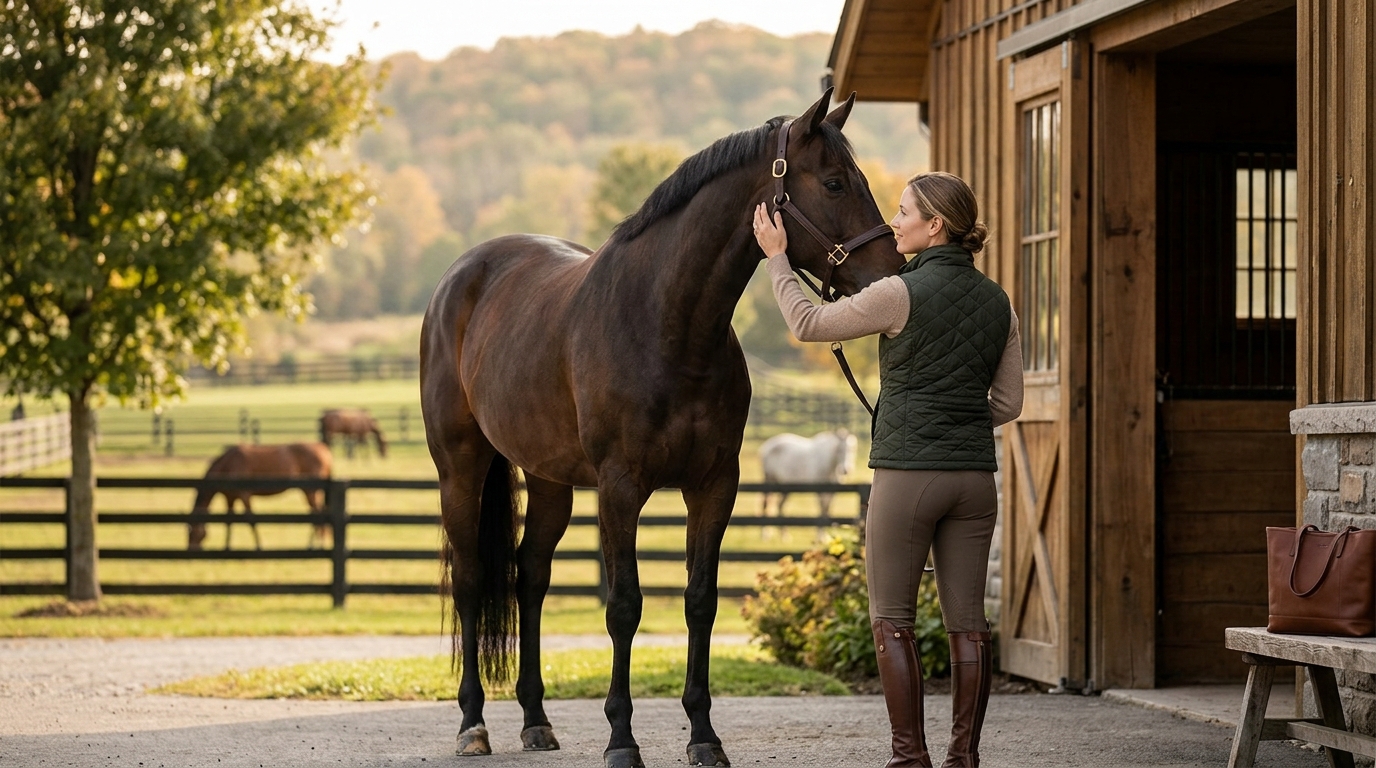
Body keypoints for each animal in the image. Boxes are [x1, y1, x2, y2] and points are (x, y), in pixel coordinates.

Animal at [187, 443, 333, 551]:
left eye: (191, 532)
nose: (191, 550)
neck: (228, 464)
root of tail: (324, 450)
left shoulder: (244, 496)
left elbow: (251, 520)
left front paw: (259, 546)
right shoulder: (230, 498)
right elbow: (229, 523)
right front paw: (227, 547)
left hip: (311, 491)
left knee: (317, 514)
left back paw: (313, 545)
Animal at [419, 88, 903, 768]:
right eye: (834, 183)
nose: (895, 270)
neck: (667, 325)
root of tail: (460, 277)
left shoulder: (715, 487)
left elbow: (700, 602)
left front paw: (704, 735)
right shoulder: (622, 490)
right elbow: (624, 607)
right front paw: (622, 739)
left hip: (550, 483)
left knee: (529, 578)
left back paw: (537, 720)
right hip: (460, 468)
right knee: (469, 581)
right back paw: (472, 725)